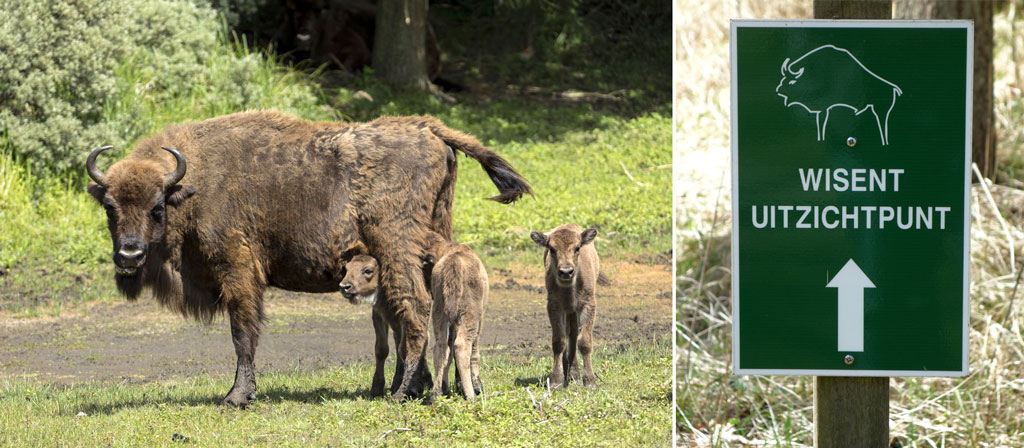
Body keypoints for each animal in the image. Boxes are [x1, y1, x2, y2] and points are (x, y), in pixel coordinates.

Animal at [421, 234, 489, 402]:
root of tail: (453, 262)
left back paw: (435, 393)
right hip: (469, 316)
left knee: (441, 347)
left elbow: (449, 351)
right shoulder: (478, 319)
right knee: (462, 346)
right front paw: (478, 387)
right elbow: (474, 351)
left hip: (439, 313)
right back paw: (471, 395)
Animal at [528, 226, 598, 386]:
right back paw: (571, 373)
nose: (566, 272)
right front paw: (556, 381)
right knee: (569, 335)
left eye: (577, 248)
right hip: (568, 312)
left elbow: (584, 341)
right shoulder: (555, 306)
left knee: (574, 335)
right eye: (552, 249)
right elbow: (559, 341)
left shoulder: (588, 305)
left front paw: (590, 381)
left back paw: (574, 375)